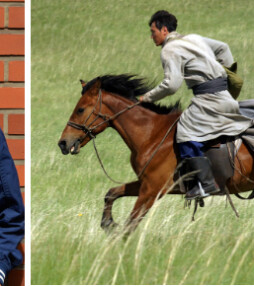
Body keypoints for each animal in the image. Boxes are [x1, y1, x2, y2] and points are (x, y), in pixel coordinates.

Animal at [58, 75, 254, 233]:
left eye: (80, 109)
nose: (63, 143)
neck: (153, 134)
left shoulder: (151, 191)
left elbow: (130, 224)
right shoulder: (146, 184)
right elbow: (112, 193)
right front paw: (108, 223)